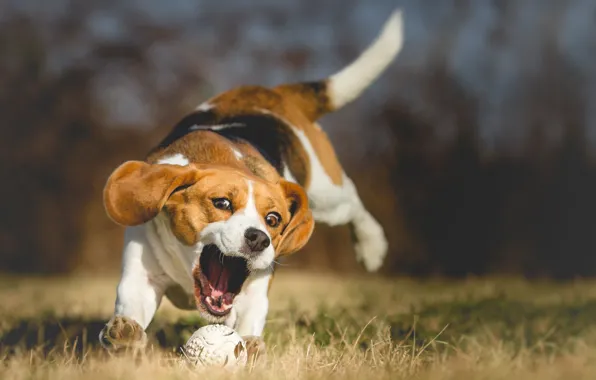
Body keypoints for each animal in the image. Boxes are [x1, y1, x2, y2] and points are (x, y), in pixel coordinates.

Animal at [99, 9, 406, 354]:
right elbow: (131, 305)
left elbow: (250, 316)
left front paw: (249, 346)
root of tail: (275, 93)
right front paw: (124, 332)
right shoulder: (142, 269)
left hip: (327, 196)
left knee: (352, 200)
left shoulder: (255, 286)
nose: (259, 239)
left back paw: (372, 246)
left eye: (273, 219)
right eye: (221, 203)